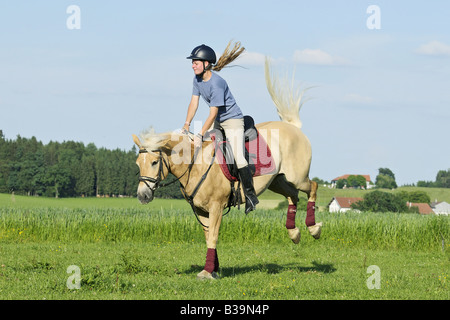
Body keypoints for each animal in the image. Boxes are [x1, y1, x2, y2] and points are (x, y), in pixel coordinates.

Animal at [132, 58, 322, 278]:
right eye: (138, 164)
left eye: (154, 162)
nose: (142, 196)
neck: (195, 165)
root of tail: (293, 127)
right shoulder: (201, 210)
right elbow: (208, 237)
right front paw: (214, 268)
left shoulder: (216, 207)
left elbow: (213, 237)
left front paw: (207, 272)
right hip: (277, 181)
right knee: (293, 195)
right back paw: (294, 233)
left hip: (297, 176)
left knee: (313, 187)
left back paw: (313, 229)